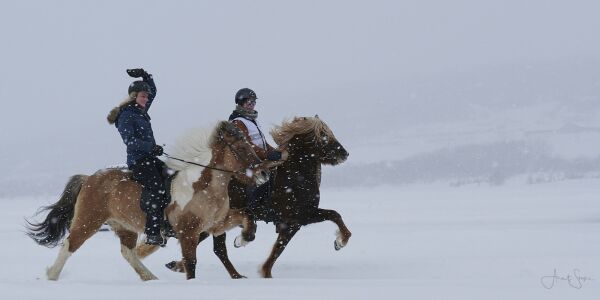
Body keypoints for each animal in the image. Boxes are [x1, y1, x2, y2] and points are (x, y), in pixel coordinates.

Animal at [27, 120, 270, 280]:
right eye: (242, 147)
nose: (263, 174)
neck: (202, 186)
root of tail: (89, 178)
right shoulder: (188, 231)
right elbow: (190, 263)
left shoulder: (215, 225)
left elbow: (248, 219)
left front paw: (242, 239)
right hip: (89, 220)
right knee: (69, 245)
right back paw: (51, 276)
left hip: (124, 226)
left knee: (128, 252)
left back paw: (150, 278)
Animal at [165, 115, 352, 278]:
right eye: (323, 135)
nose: (344, 153)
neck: (294, 177)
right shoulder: (295, 220)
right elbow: (278, 250)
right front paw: (264, 271)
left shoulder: (299, 219)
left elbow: (334, 215)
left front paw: (339, 242)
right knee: (216, 248)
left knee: (208, 244)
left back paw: (179, 265)